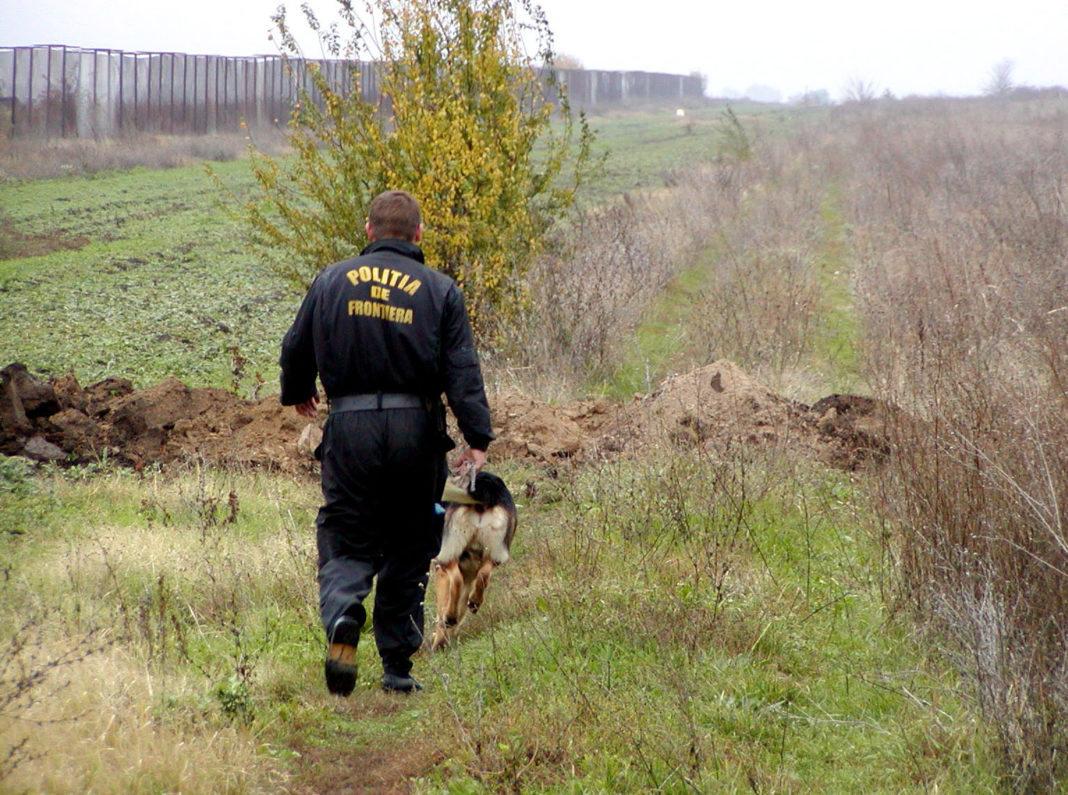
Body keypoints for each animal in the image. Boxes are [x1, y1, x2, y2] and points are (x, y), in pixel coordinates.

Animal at [431, 468, 519, 649]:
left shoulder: (440, 572)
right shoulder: (469, 576)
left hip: (447, 554)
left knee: (456, 581)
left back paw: (450, 616)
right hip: (495, 553)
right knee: (483, 576)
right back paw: (475, 602)